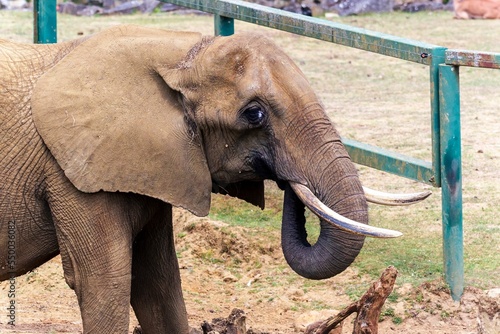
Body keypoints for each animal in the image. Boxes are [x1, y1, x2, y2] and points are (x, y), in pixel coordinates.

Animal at [0, 24, 430, 332]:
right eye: (254, 114)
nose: (287, 180)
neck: (181, 52)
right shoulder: (69, 174)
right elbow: (105, 283)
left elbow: (158, 285)